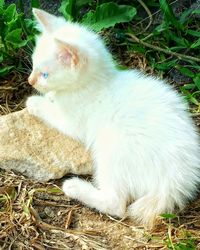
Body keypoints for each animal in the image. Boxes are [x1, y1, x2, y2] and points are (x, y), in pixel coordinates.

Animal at [27, 8, 200, 228]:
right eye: (33, 65)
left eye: (45, 75)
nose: (30, 81)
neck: (97, 83)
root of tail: (177, 180)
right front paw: (49, 96)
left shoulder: (73, 120)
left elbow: (55, 115)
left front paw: (34, 102)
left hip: (113, 149)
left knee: (116, 204)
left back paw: (75, 187)